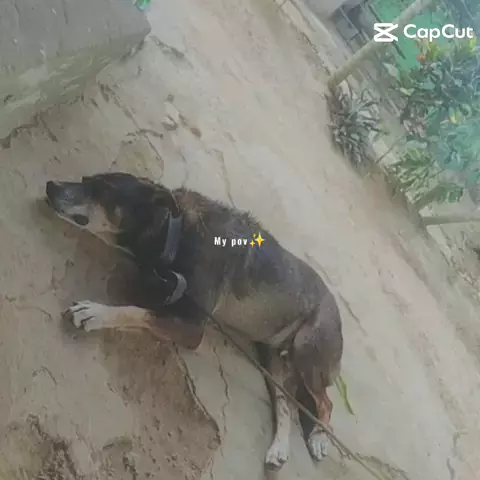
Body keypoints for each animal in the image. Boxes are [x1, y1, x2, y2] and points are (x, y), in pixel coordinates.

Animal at [45, 172, 343, 471]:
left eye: (104, 190)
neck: (175, 233)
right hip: (273, 362)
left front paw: (95, 313)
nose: (50, 186)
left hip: (307, 347)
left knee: (325, 403)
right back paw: (279, 449)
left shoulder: (193, 329)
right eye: (86, 179)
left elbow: (137, 311)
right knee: (286, 405)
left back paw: (319, 437)